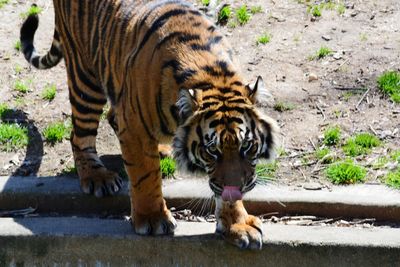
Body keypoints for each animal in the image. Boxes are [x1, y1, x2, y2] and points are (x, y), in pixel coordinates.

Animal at [20, 0, 276, 251]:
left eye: (247, 146)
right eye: (212, 150)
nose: (237, 188)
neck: (212, 75)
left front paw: (237, 224)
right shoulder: (135, 129)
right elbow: (146, 175)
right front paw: (153, 220)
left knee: (112, 116)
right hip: (85, 79)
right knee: (79, 135)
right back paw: (97, 177)